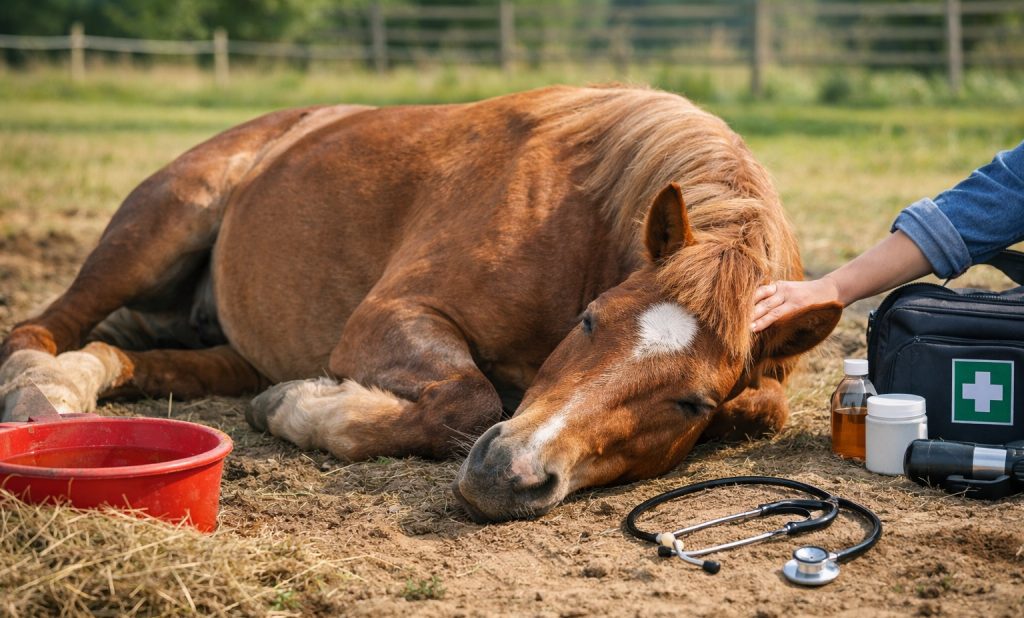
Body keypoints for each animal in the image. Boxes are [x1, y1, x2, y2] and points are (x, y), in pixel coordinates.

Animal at [0, 85, 840, 522]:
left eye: (694, 404)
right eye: (590, 320)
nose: (507, 473)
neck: (586, 213)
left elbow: (759, 411)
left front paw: (301, 402)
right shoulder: (390, 319)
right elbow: (468, 398)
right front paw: (305, 409)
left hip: (222, 347)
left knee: (122, 353)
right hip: (159, 225)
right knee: (39, 329)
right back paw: (40, 396)